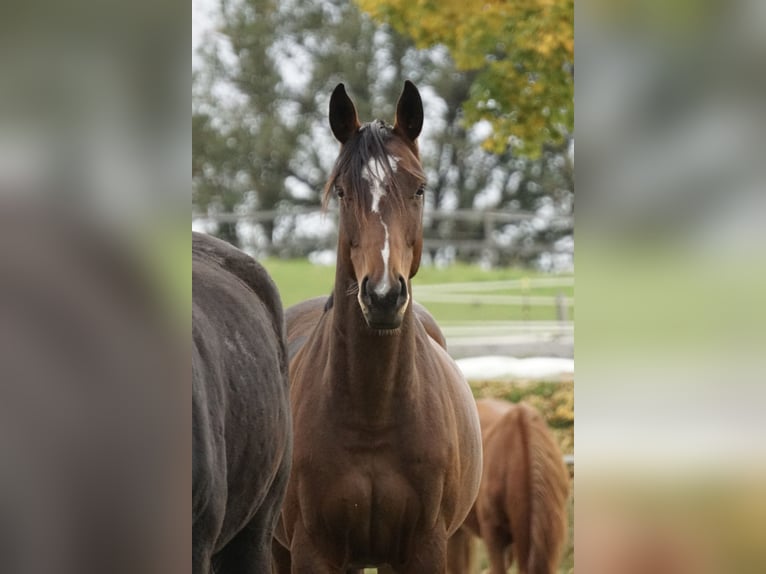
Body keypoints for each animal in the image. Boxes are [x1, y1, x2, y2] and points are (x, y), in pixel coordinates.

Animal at [273, 81, 483, 573]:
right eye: (342, 191)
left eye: (419, 188)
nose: (384, 295)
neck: (372, 414)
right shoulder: (312, 550)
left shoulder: (425, 548)